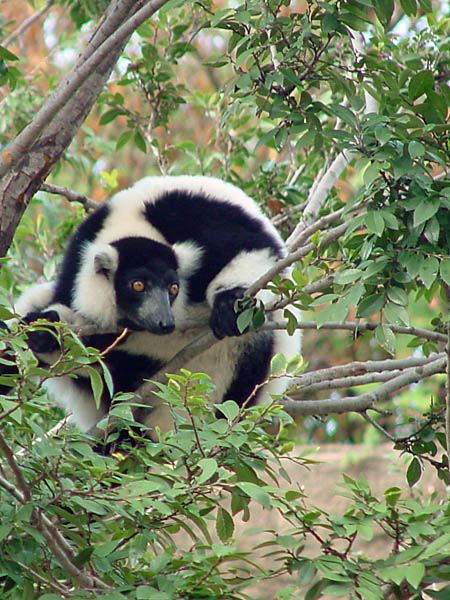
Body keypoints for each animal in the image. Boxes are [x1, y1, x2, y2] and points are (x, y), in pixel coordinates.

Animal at [12, 176, 301, 434]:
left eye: (173, 288)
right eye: (137, 286)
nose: (165, 323)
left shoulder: (194, 213)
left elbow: (255, 247)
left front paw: (230, 304)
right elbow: (92, 342)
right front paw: (46, 333)